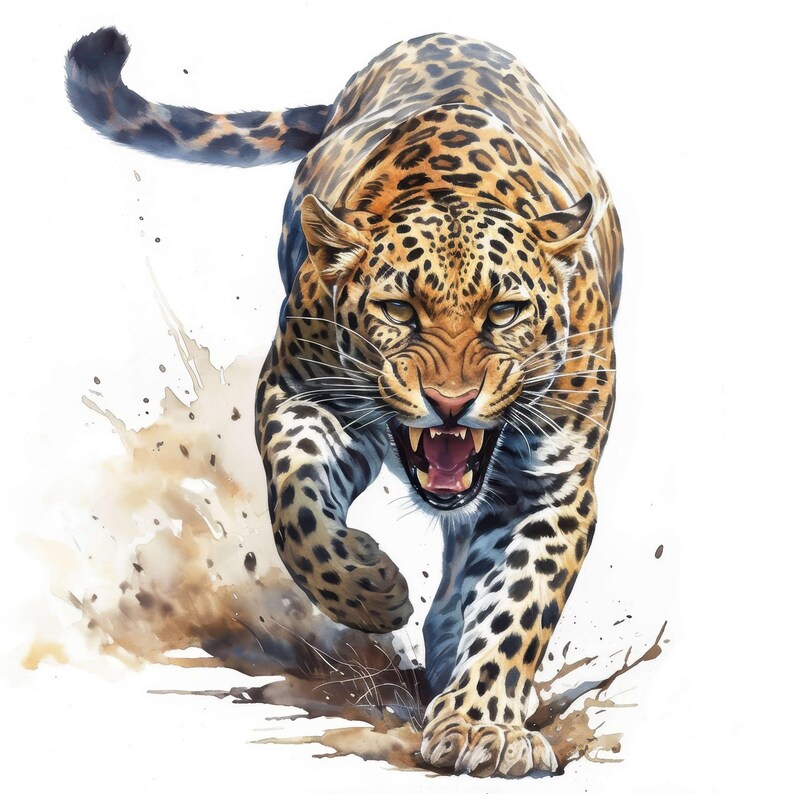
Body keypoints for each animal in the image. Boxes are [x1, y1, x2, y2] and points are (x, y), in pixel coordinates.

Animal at [66, 27, 623, 777]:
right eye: (398, 310)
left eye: (504, 313)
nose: (451, 402)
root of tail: (446, 32)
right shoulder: (300, 394)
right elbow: (299, 511)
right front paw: (372, 589)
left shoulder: (554, 483)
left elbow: (518, 605)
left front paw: (480, 724)